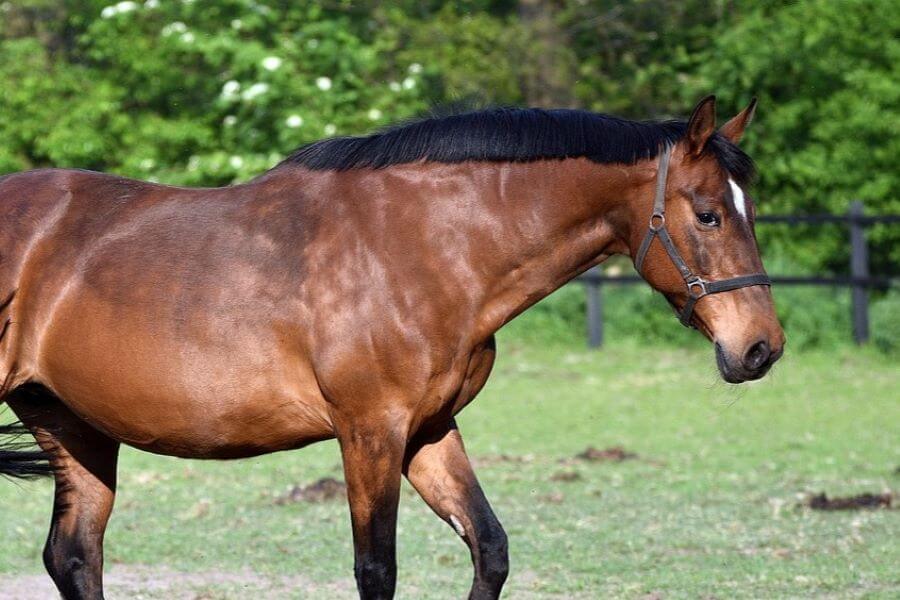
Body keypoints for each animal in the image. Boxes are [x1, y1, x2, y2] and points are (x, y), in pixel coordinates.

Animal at [0, 96, 784, 596]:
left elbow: (489, 548)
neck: (420, 248)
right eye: (709, 215)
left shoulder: (429, 430)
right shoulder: (370, 431)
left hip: (72, 424)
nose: (761, 348)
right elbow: (377, 570)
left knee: (75, 557)